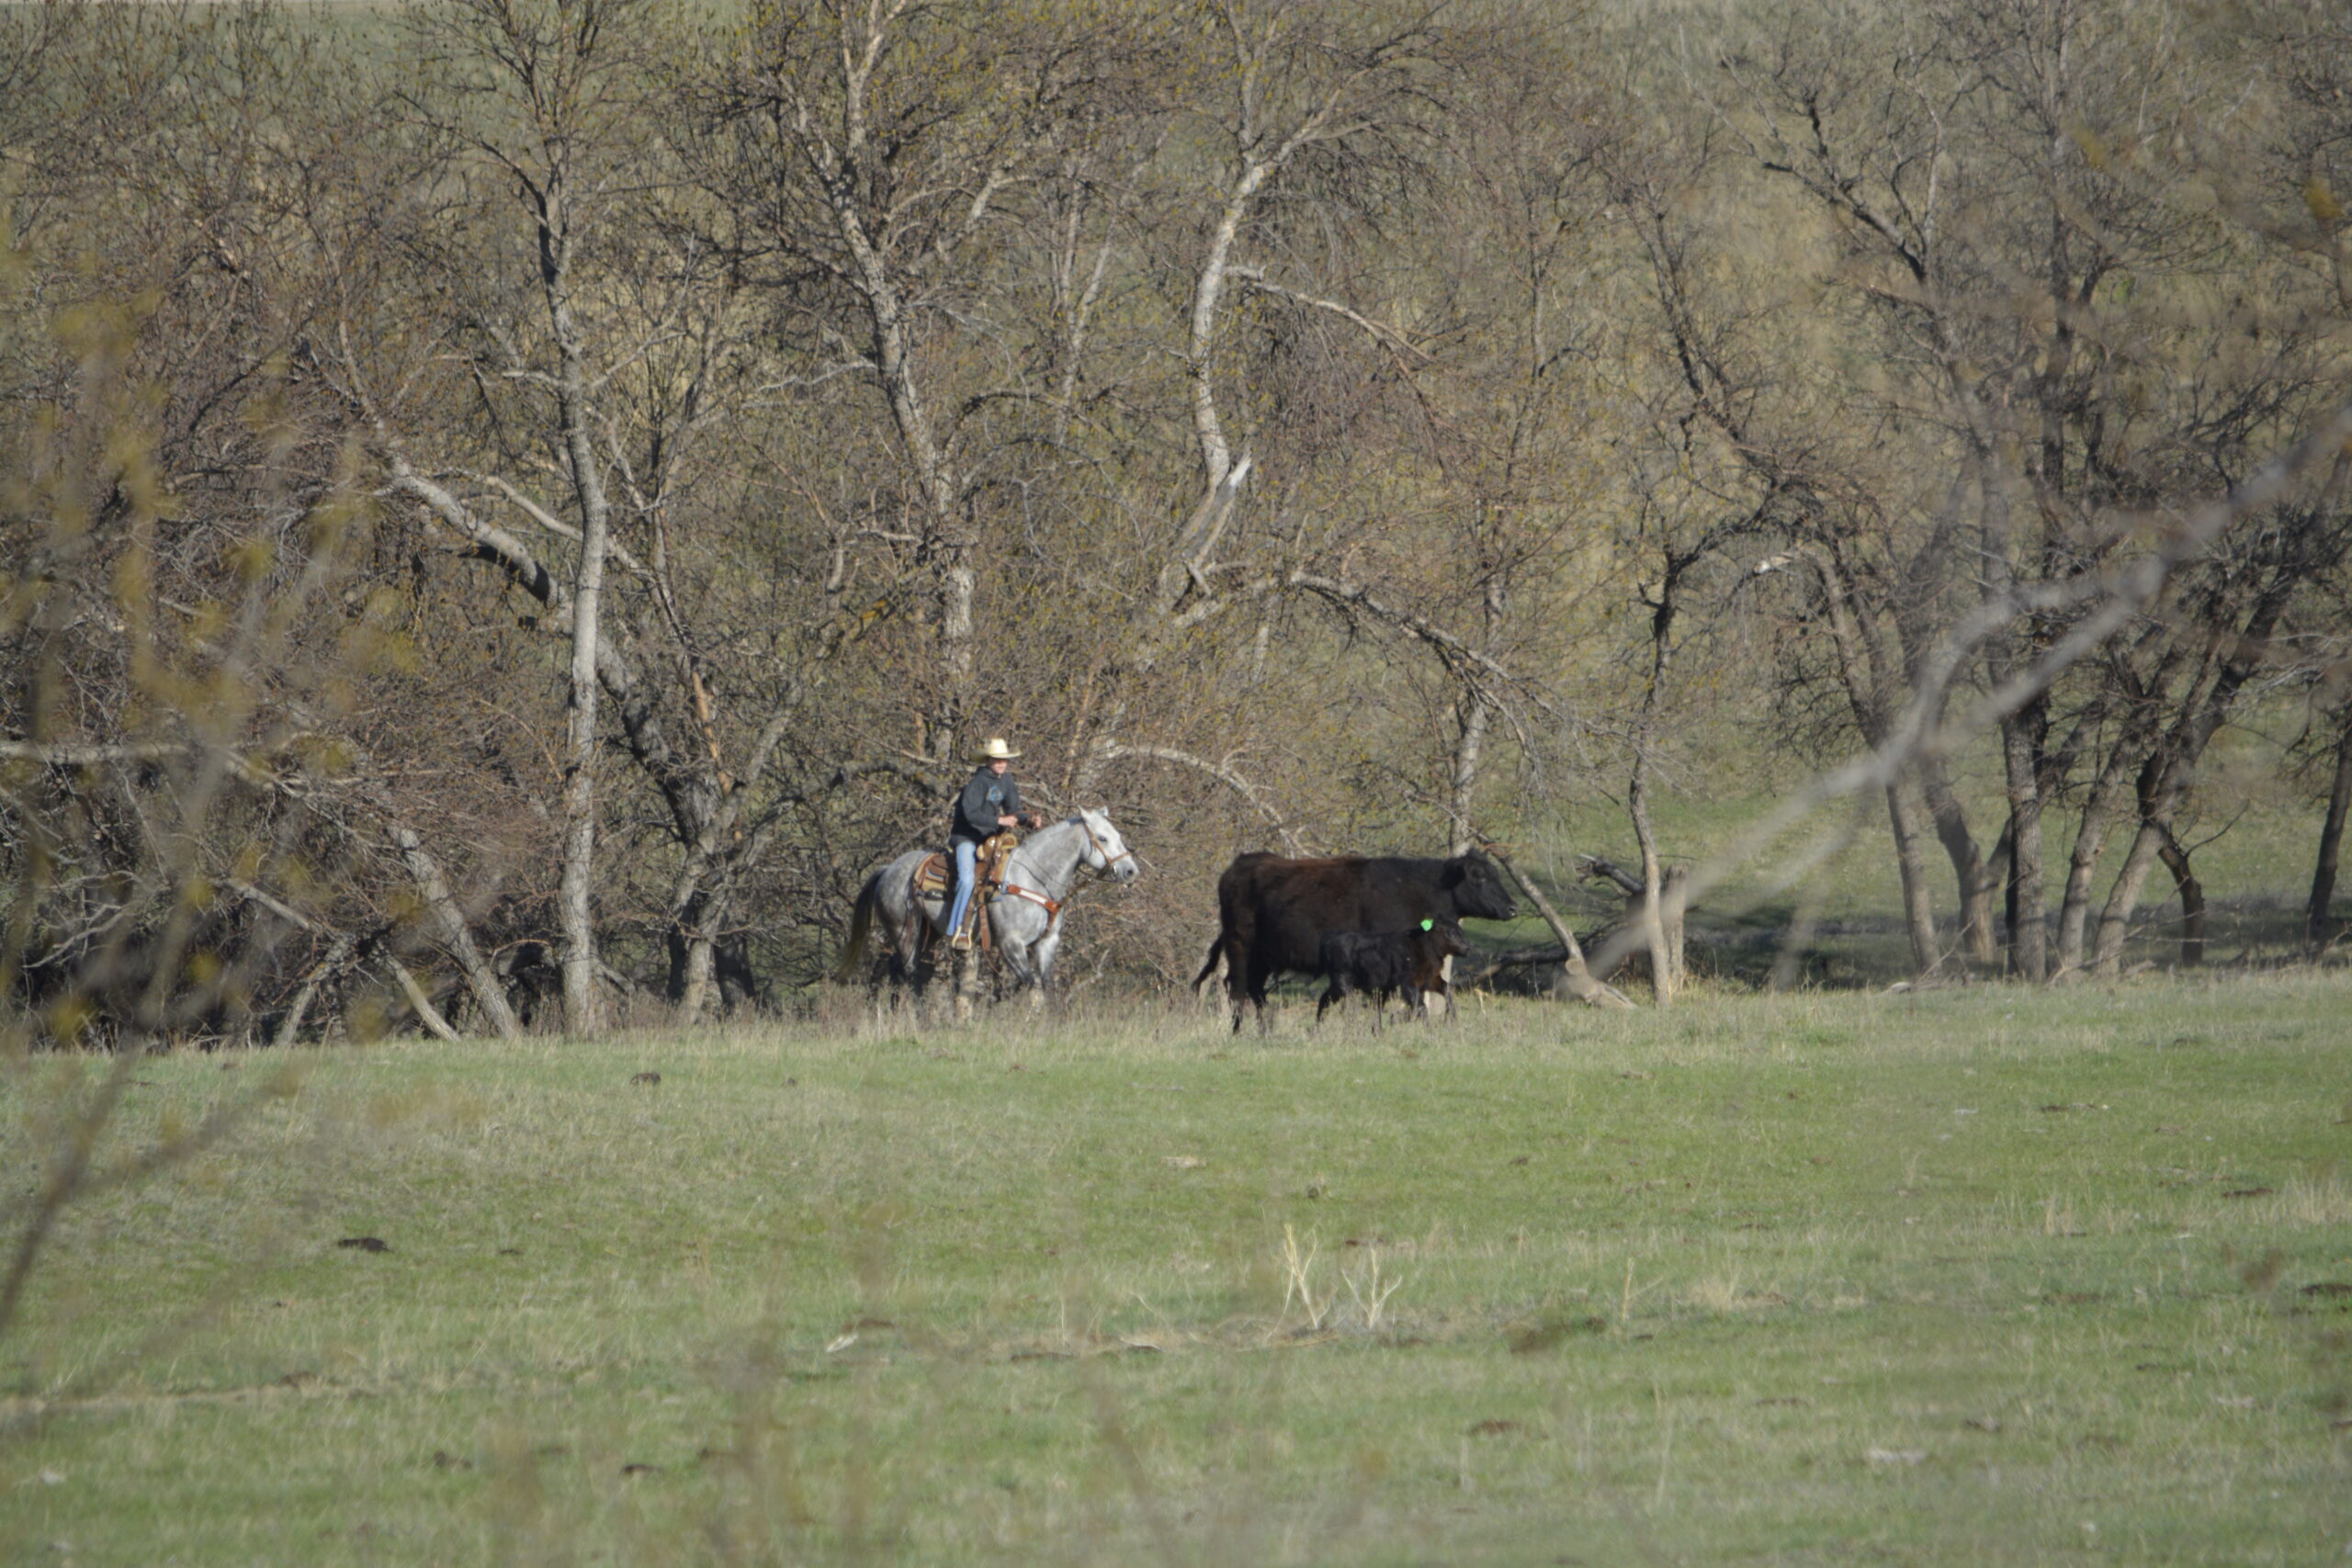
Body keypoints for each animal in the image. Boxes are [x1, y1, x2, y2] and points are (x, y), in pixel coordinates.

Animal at [835, 809, 1138, 1018]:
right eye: (1102, 838)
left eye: (1119, 836)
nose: (1130, 871)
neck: (1034, 879)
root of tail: (888, 869)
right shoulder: (1010, 944)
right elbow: (1030, 983)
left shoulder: (1046, 942)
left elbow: (1044, 984)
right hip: (904, 931)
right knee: (907, 971)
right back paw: (915, 1017)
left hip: (927, 934)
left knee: (895, 969)